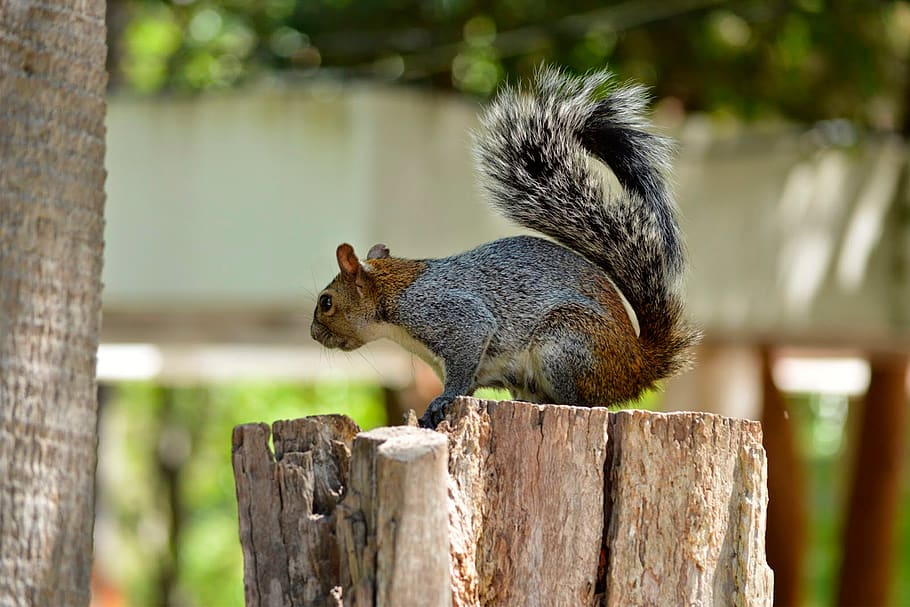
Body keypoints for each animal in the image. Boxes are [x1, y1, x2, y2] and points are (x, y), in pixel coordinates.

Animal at [310, 67, 700, 429]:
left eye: (326, 302)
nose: (314, 335)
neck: (391, 293)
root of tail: (637, 364)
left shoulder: (449, 314)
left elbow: (466, 357)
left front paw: (443, 401)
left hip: (568, 343)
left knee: (586, 402)